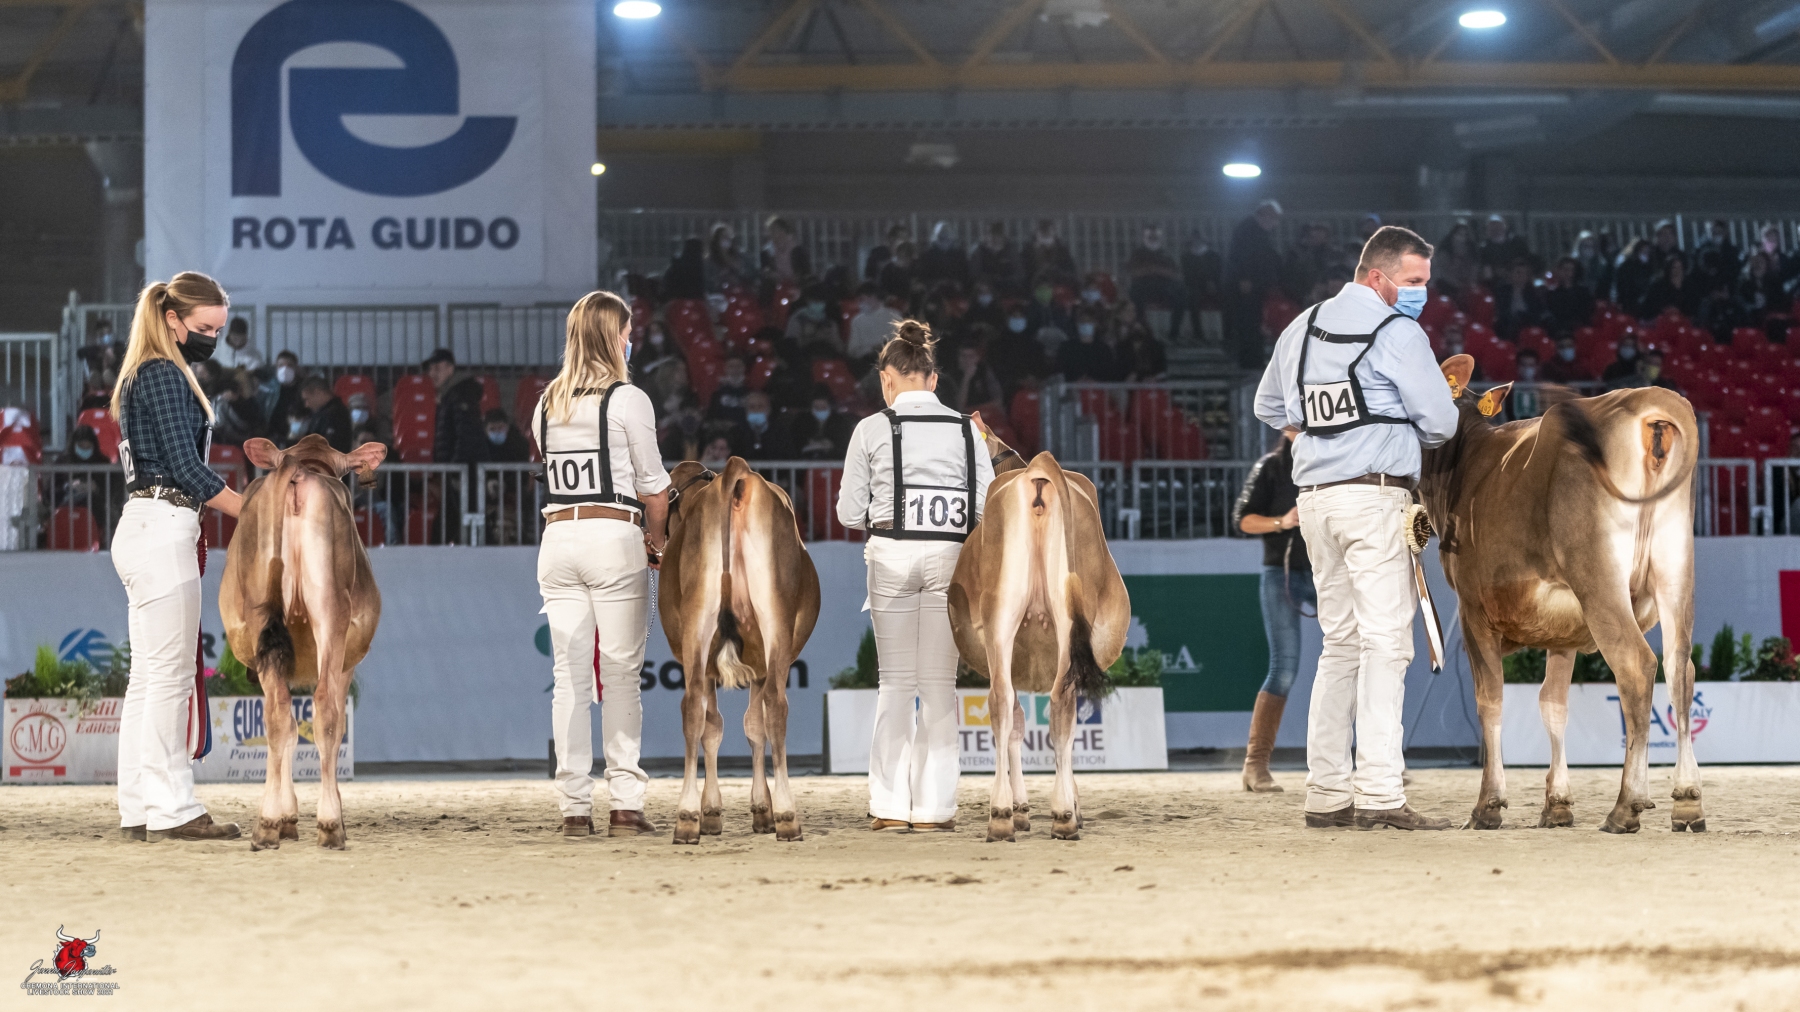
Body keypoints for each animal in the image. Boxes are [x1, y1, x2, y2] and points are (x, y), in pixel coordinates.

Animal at [222, 434, 385, 850]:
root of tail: (298, 471)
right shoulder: (347, 664)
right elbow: (334, 728)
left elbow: (291, 731)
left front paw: (284, 817)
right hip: (330, 610)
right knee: (325, 708)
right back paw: (330, 826)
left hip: (263, 617)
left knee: (276, 713)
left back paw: (265, 825)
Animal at [659, 456, 820, 843]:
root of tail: (737, 473)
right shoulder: (758, 664)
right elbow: (749, 726)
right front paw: (760, 810)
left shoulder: (717, 666)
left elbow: (724, 725)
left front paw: (716, 811)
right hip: (773, 625)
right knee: (774, 705)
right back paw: (787, 815)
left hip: (700, 629)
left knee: (695, 706)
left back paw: (687, 817)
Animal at [949, 417, 1130, 842]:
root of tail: (1036, 470)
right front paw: (1042, 806)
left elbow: (1019, 723)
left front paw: (1023, 808)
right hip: (1038, 622)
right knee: (1052, 708)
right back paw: (1056, 814)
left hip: (1004, 618)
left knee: (1012, 704)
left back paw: (1006, 814)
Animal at [1421, 356, 1700, 834]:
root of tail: (1645, 402)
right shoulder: (1563, 630)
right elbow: (1552, 703)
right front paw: (1557, 804)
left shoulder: (1473, 611)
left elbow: (1490, 701)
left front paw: (1488, 805)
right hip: (1675, 567)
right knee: (1680, 668)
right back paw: (1687, 801)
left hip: (1599, 579)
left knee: (1637, 666)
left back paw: (1626, 806)